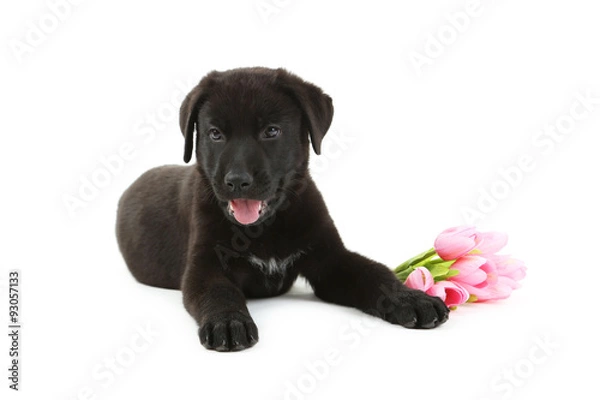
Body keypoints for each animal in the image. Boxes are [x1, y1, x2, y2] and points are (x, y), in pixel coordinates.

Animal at [115, 67, 448, 352]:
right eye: (215, 134)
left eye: (271, 131)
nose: (237, 181)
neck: (264, 228)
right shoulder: (204, 266)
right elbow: (219, 291)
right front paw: (228, 322)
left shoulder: (331, 259)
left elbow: (374, 273)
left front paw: (411, 298)